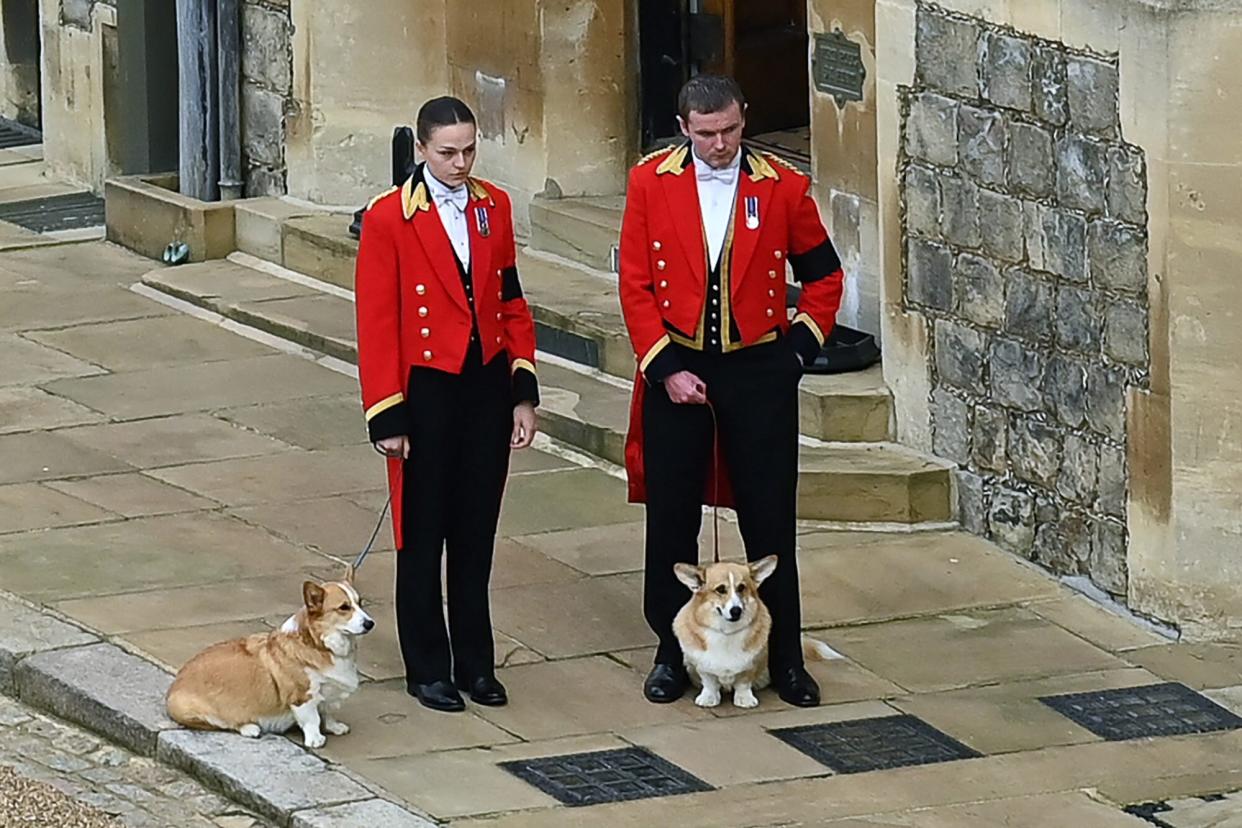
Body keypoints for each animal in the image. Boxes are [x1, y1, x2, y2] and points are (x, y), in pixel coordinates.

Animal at [165, 576, 370, 749]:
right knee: (223, 724)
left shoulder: (327, 694)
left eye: (360, 603)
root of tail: (173, 687)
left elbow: (327, 713)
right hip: (198, 712)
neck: (319, 644)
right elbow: (312, 719)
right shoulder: (303, 696)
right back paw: (250, 728)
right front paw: (315, 739)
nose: (370, 623)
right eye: (344, 607)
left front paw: (335, 727)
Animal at [675, 556, 839, 705]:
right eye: (720, 589)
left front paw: (744, 699)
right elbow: (709, 681)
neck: (727, 632)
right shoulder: (702, 664)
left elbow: (743, 682)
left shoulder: (751, 663)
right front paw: (708, 698)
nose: (736, 610)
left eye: (741, 588)